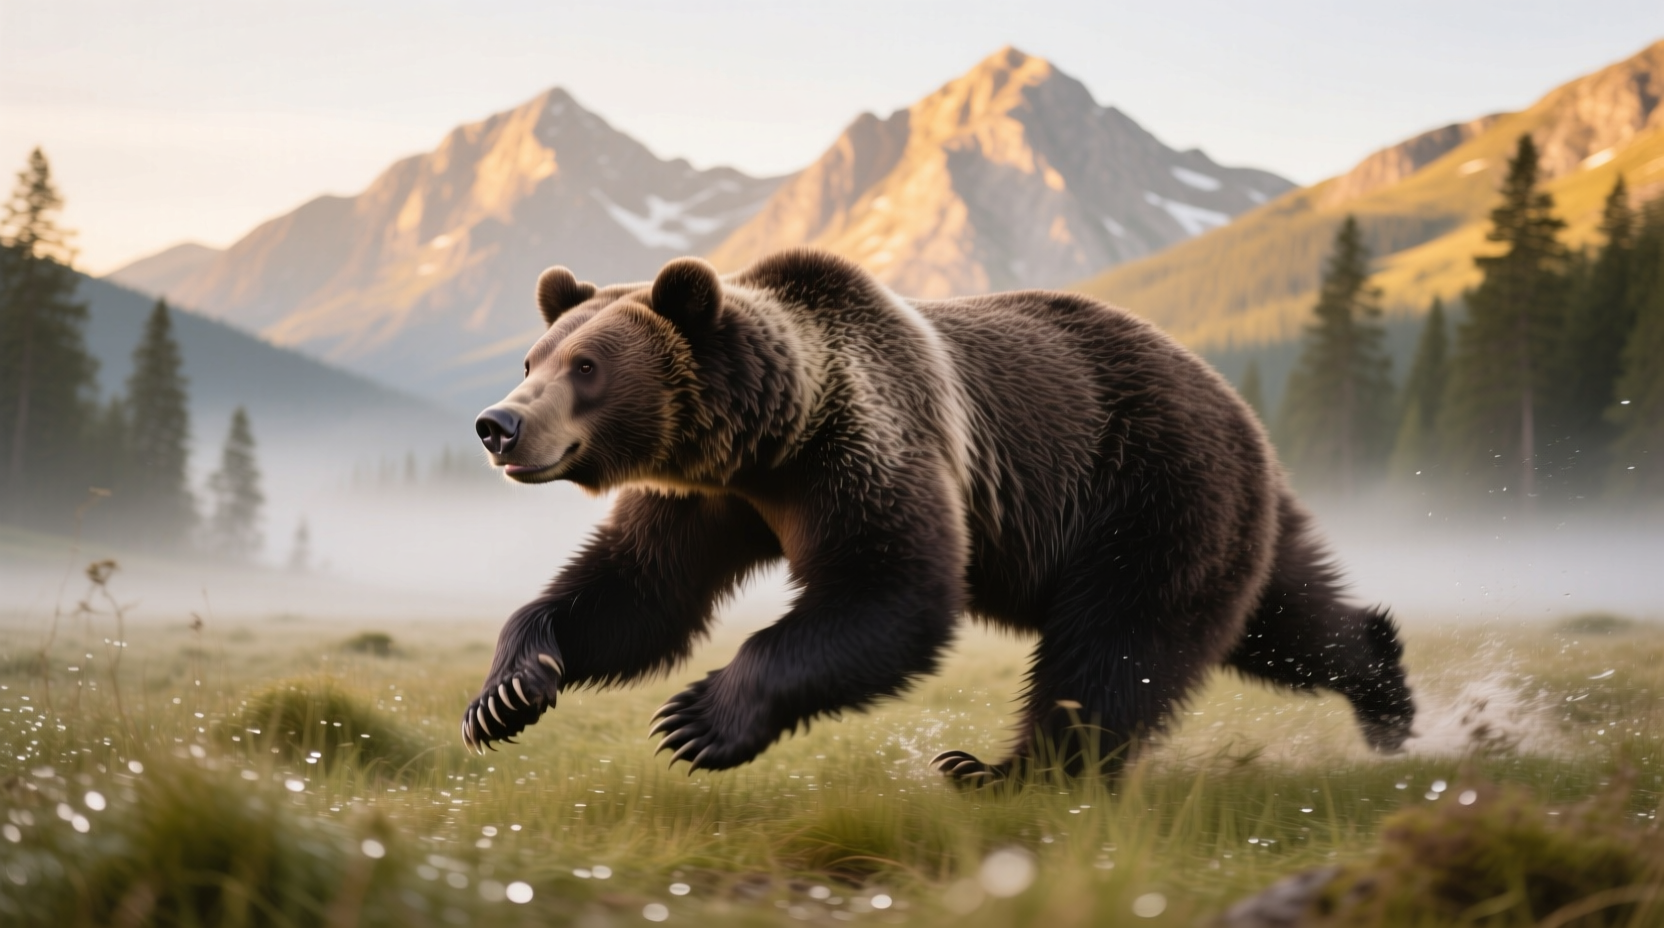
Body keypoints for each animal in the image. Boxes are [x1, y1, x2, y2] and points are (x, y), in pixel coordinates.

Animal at [463, 249, 1414, 781]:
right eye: (533, 357)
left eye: (587, 367)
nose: (497, 424)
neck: (769, 442)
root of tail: (1241, 411)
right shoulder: (707, 499)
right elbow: (637, 592)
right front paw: (506, 692)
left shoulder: (868, 445)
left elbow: (893, 591)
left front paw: (697, 721)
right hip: (1229, 515)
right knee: (1287, 619)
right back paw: (1387, 697)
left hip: (1148, 489)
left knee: (1118, 643)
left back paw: (1000, 770)